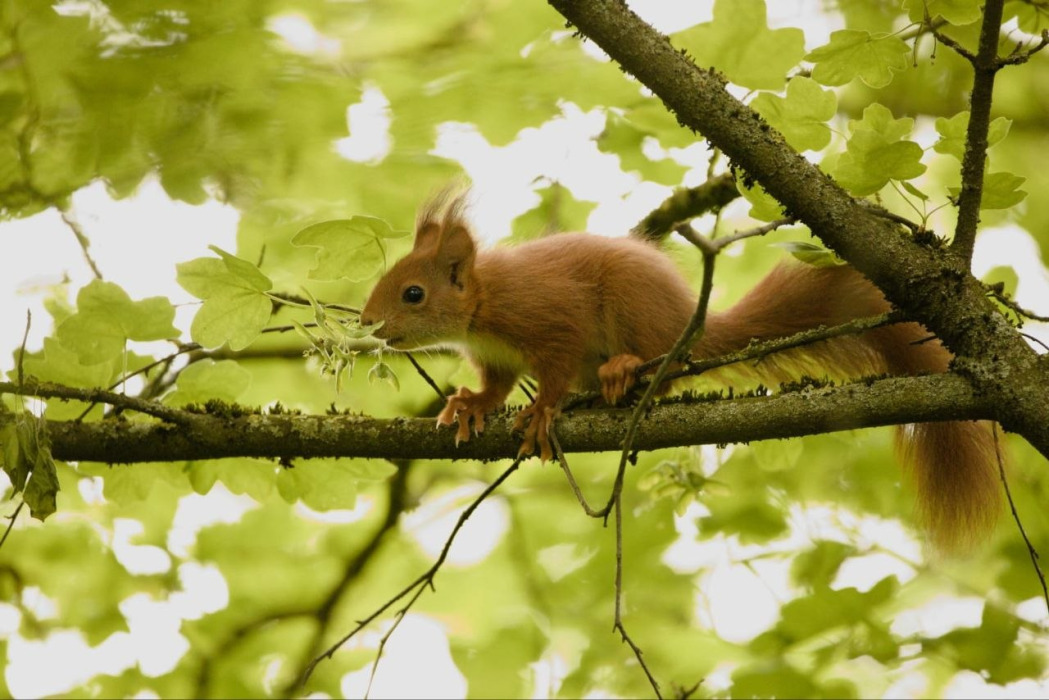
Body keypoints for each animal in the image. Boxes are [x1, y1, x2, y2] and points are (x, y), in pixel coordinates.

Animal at [360, 188, 1000, 550]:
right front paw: (468, 406)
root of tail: (689, 327)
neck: (483, 307)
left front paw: (542, 411)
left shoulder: (549, 319)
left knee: (662, 369)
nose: (368, 323)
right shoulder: (495, 358)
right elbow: (494, 389)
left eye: (413, 294)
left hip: (634, 309)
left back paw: (622, 372)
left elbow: (556, 368)